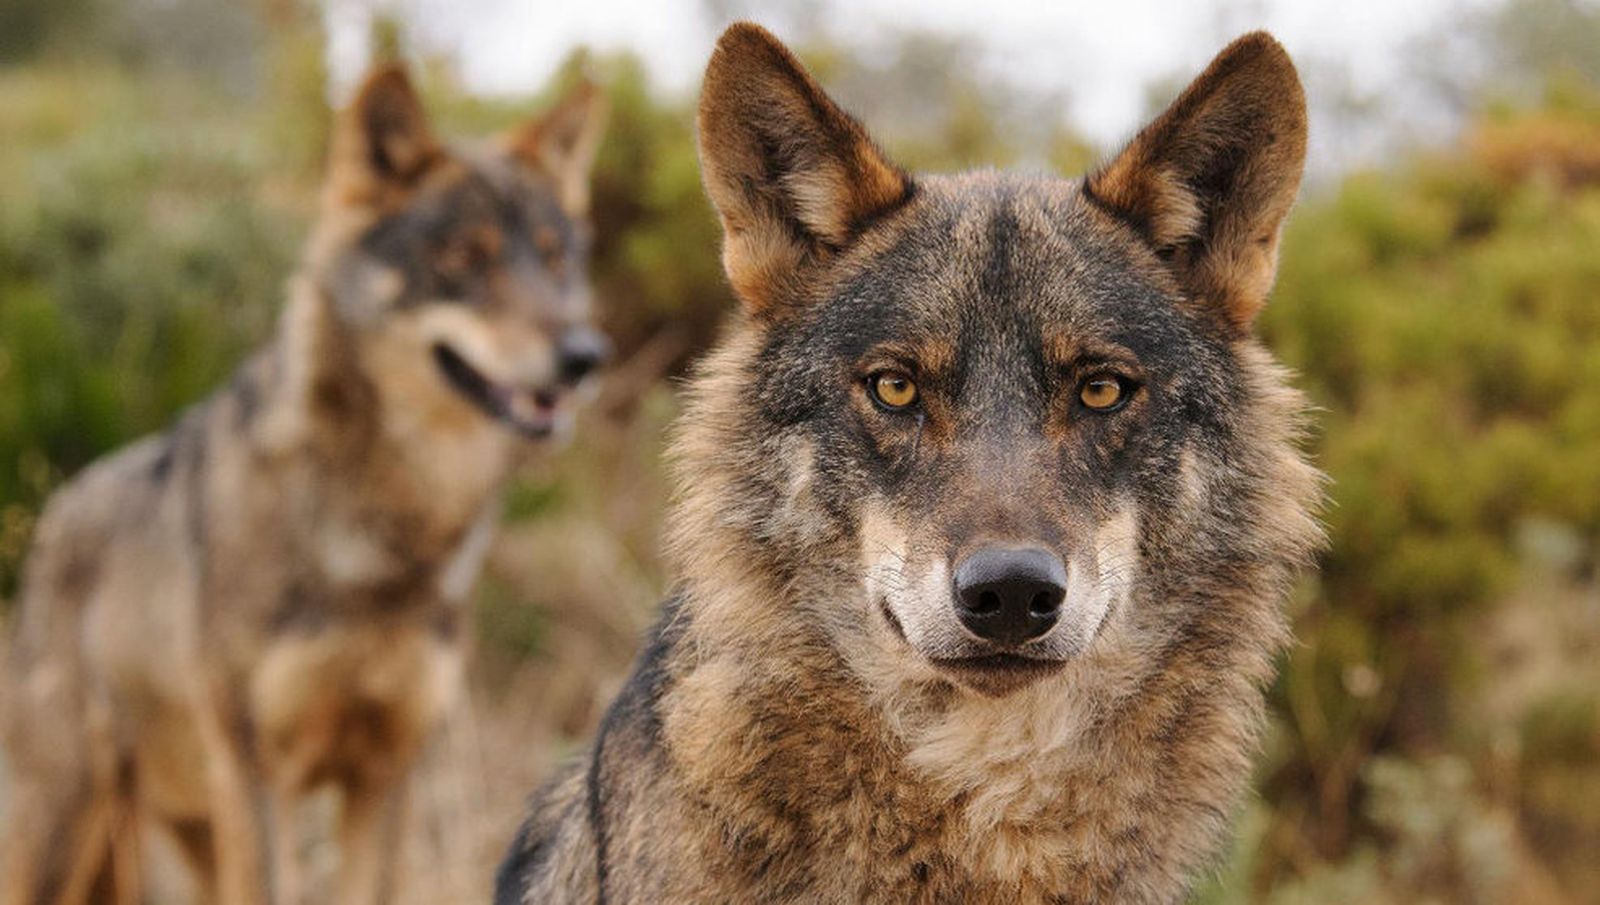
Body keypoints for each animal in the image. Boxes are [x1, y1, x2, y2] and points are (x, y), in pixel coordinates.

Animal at [1, 64, 606, 905]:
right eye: (462, 257)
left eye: (553, 259)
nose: (584, 356)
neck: (385, 536)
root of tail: (55, 510)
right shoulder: (259, 773)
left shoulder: (385, 772)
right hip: (75, 826)